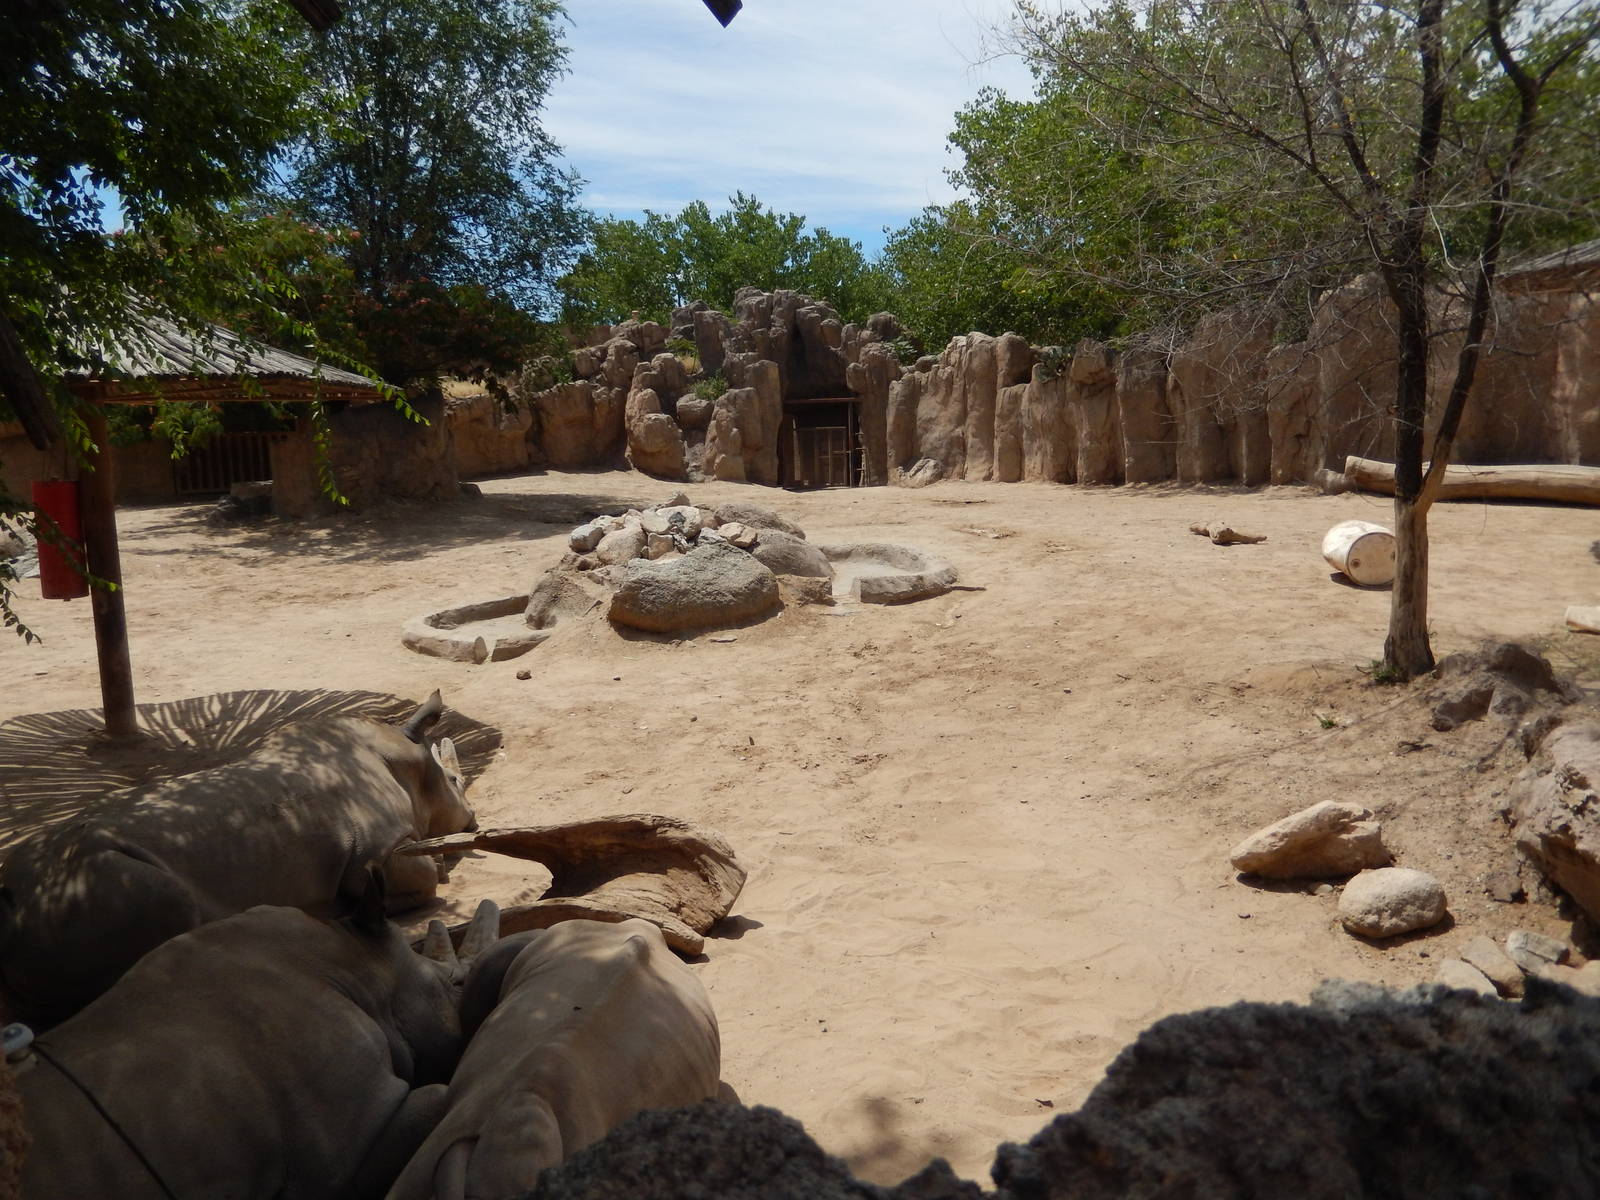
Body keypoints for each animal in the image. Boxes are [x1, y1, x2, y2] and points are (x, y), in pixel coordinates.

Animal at [0, 691, 476, 1024]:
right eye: (456, 781)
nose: (472, 820)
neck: (408, 765)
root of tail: (14, 900)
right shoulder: (377, 854)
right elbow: (425, 875)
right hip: (95, 886)